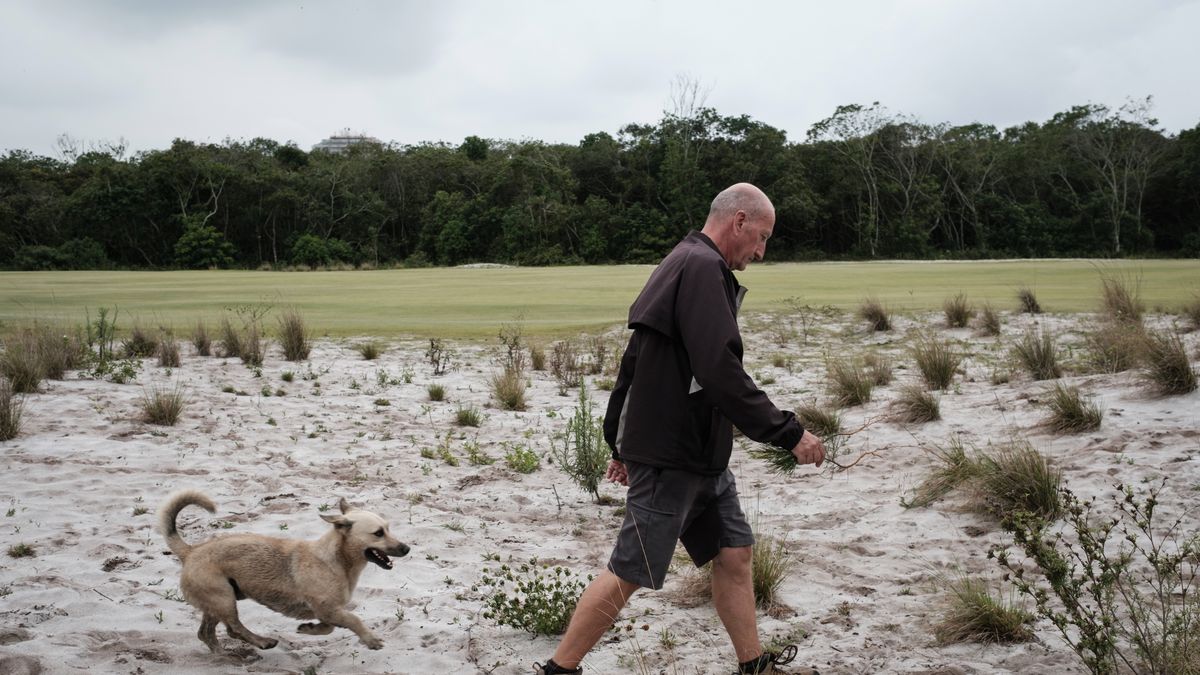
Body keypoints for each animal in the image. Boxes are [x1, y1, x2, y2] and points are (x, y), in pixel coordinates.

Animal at [157, 487, 410, 653]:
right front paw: (371, 639)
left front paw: (308, 629)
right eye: (378, 533)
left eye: (388, 528)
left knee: (207, 633)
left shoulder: (327, 612)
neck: (337, 561)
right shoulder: (328, 609)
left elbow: (327, 628)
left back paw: (222, 654)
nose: (406, 548)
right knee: (233, 629)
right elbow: (354, 620)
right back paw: (262, 642)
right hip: (223, 598)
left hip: (217, 601)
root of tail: (190, 551)